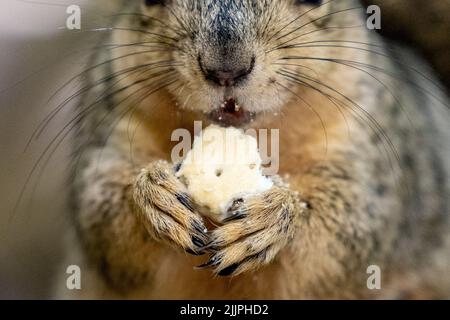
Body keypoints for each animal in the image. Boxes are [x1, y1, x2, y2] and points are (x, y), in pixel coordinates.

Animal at [53, 0, 450, 300]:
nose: (226, 68)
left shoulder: (369, 151)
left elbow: (349, 227)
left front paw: (272, 217)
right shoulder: (115, 124)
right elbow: (102, 218)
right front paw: (154, 196)